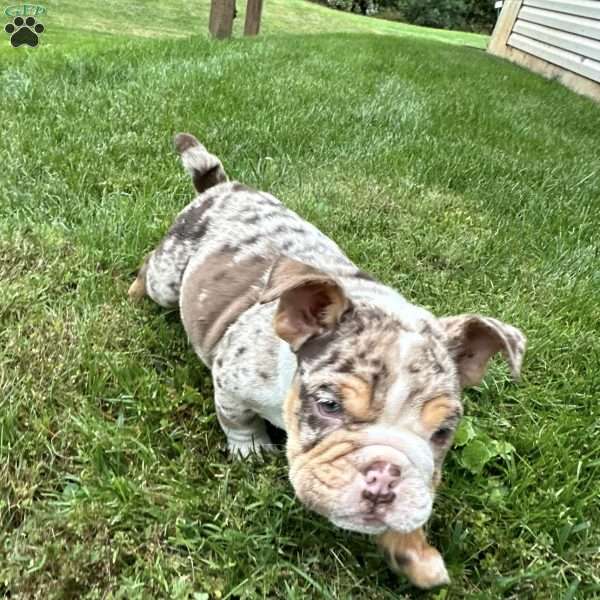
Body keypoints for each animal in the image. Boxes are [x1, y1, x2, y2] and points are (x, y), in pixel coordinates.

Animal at [130, 134, 524, 588]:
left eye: (443, 432)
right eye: (329, 406)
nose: (384, 475)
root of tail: (224, 187)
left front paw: (413, 551)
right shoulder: (231, 379)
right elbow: (237, 419)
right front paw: (251, 450)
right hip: (168, 276)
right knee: (150, 270)